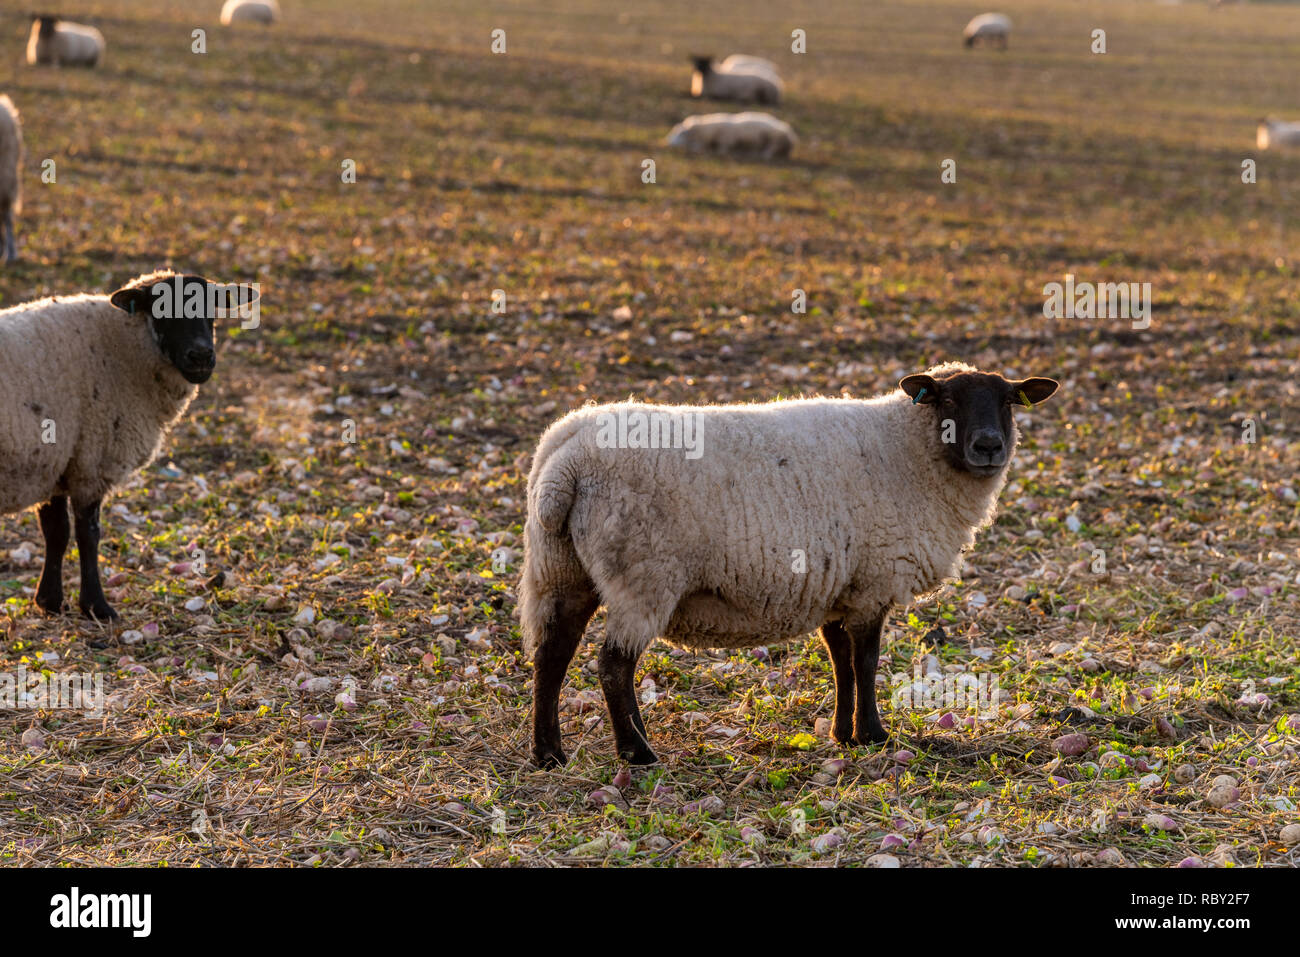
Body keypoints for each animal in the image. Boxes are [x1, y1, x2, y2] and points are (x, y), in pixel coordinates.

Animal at [0, 269, 258, 621]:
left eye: (213, 309)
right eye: (161, 310)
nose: (202, 356)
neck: (122, 345)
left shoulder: (56, 460)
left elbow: (56, 533)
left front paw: (50, 601)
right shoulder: (92, 461)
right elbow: (88, 535)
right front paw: (96, 606)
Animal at [517, 361, 1055, 764]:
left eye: (1009, 400)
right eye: (946, 400)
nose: (989, 446)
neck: (907, 449)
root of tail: (564, 463)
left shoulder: (841, 584)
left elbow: (840, 659)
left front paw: (843, 733)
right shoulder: (874, 581)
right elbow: (866, 660)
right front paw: (873, 734)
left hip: (560, 569)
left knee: (551, 656)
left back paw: (549, 753)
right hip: (642, 576)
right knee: (613, 666)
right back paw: (638, 753)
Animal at [665, 111, 795, 158]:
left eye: (680, 133)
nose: (667, 142)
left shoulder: (726, 141)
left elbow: (720, 150)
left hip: (775, 137)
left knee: (773, 148)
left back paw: (763, 153)